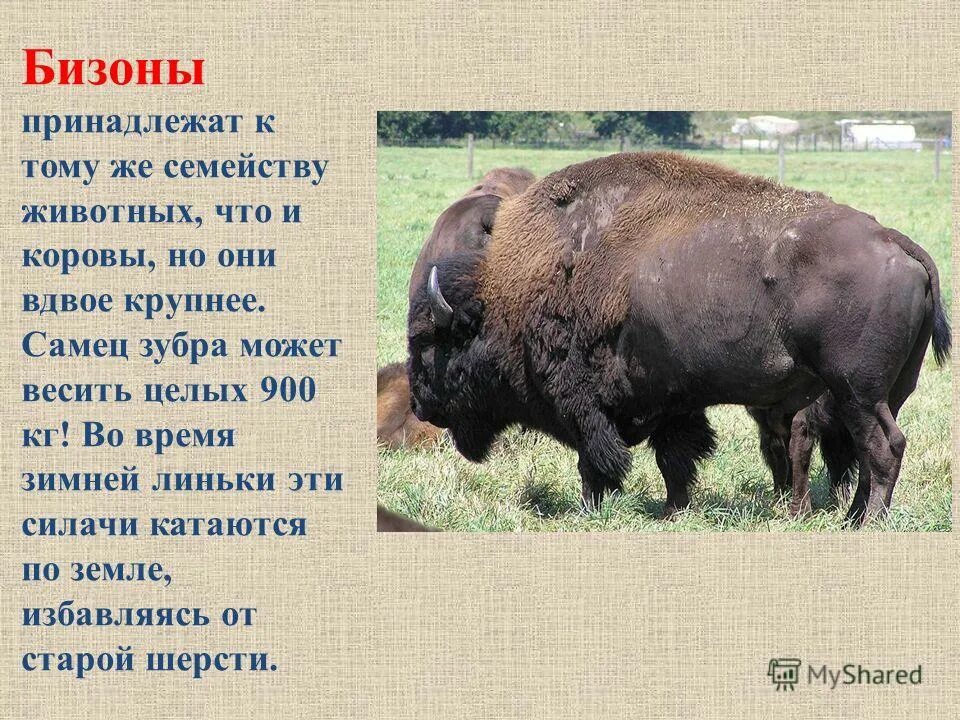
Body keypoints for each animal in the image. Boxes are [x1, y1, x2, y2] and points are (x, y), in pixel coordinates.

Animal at [407, 152, 949, 526]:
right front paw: (673, 510)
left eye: (429, 343)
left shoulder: (585, 403)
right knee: (865, 450)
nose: (419, 404)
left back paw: (865, 522)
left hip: (857, 390)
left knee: (883, 447)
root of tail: (895, 242)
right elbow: (675, 458)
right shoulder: (673, 402)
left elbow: (596, 460)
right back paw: (853, 516)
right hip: (885, 392)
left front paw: (592, 508)